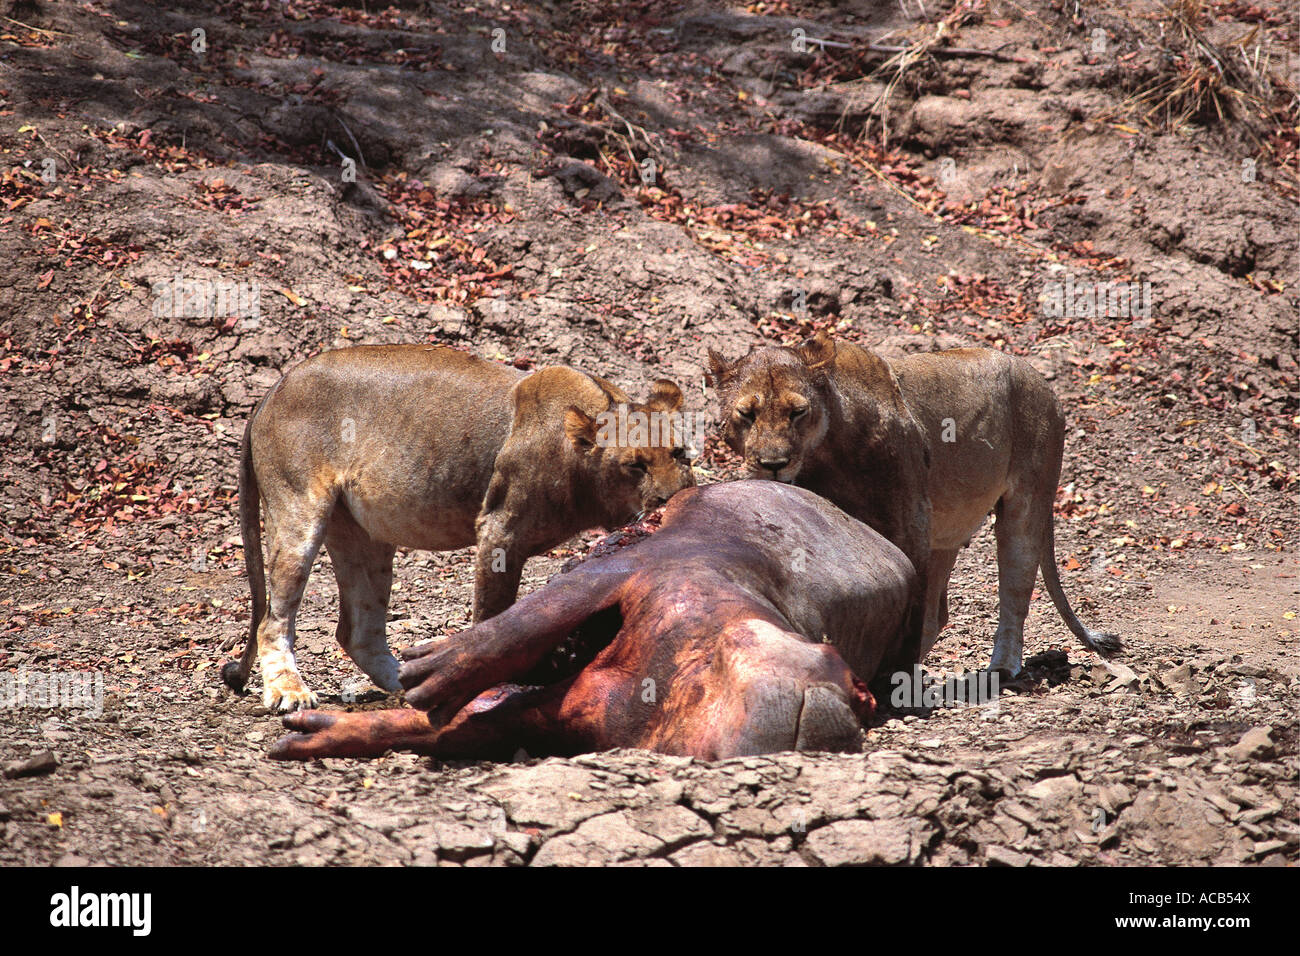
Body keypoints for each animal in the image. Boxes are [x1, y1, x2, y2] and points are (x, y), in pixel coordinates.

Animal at [223, 343, 696, 712]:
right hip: (299, 509)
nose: (675, 497)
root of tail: (275, 387)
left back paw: (411, 683)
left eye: (680, 454)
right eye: (635, 465)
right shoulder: (499, 530)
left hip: (364, 536)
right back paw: (289, 692)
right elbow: (493, 614)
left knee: (357, 630)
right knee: (273, 619)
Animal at [707, 332, 1123, 676]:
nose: (773, 464)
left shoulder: (911, 522)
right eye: (747, 413)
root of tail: (1044, 384)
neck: (828, 450)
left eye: (797, 412)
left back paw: (1003, 668)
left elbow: (912, 604)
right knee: (940, 612)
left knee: (1014, 590)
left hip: (1027, 501)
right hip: (947, 535)